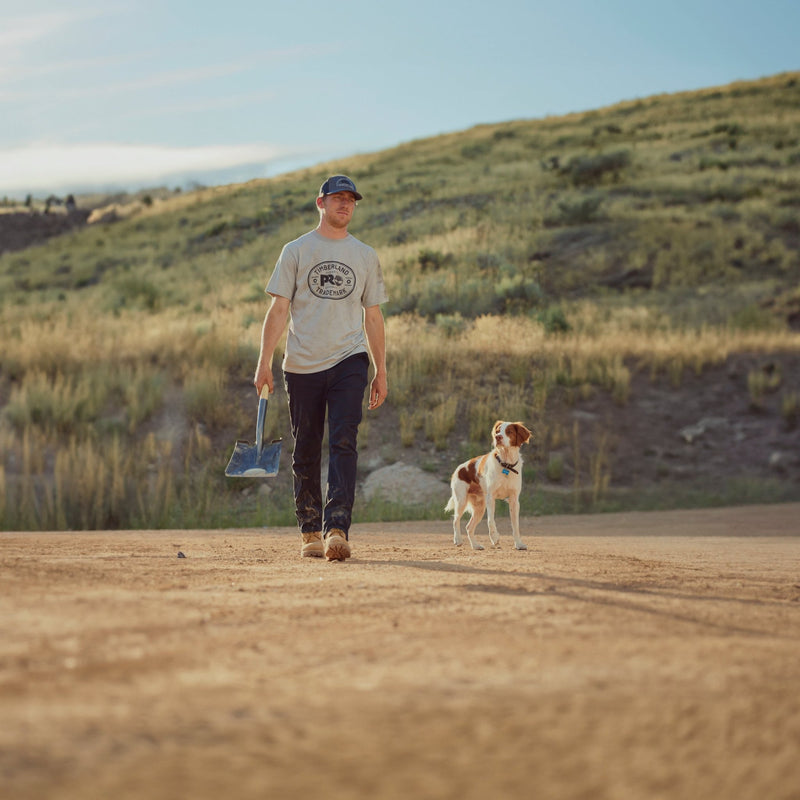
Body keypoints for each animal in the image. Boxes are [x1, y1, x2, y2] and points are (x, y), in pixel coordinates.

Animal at [444, 424, 532, 552]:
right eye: (497, 431)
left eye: (509, 431)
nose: (498, 437)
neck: (506, 464)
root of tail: (457, 470)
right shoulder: (491, 497)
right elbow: (491, 520)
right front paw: (495, 538)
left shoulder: (514, 500)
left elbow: (515, 526)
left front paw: (519, 544)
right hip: (461, 501)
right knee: (456, 520)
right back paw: (458, 540)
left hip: (479, 507)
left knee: (469, 527)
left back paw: (475, 546)